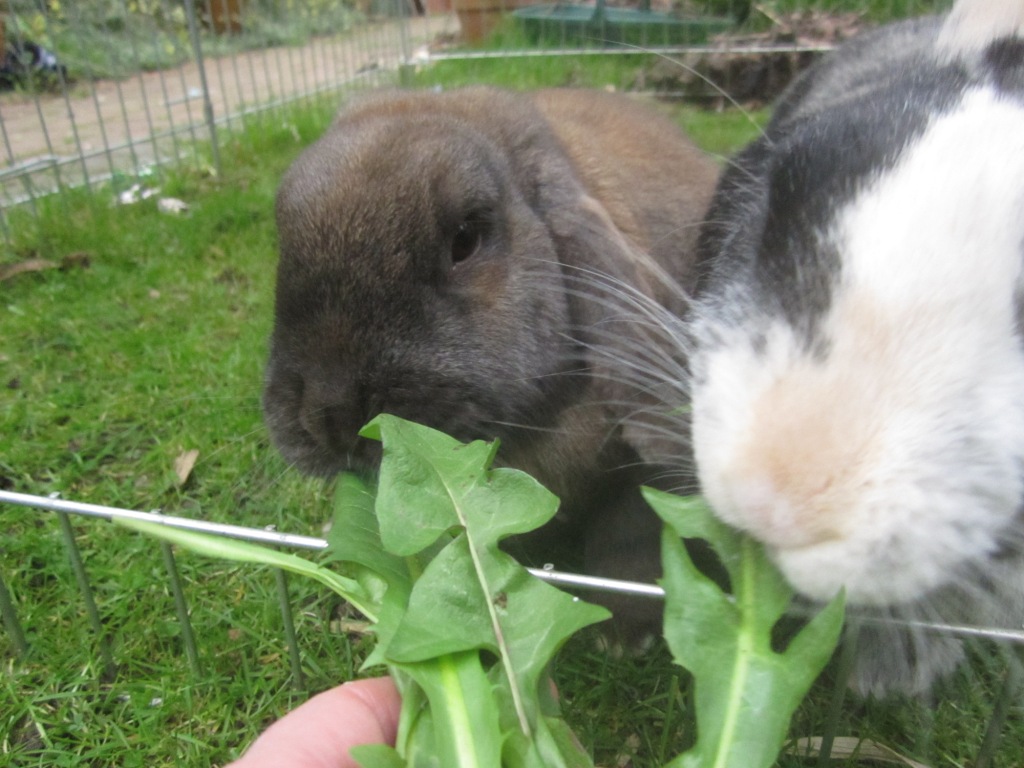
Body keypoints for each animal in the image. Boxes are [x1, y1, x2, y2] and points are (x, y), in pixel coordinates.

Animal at [262, 86, 720, 632]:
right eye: (283, 248)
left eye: (465, 239)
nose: (330, 417)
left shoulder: (637, 477)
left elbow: (633, 531)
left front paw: (626, 627)